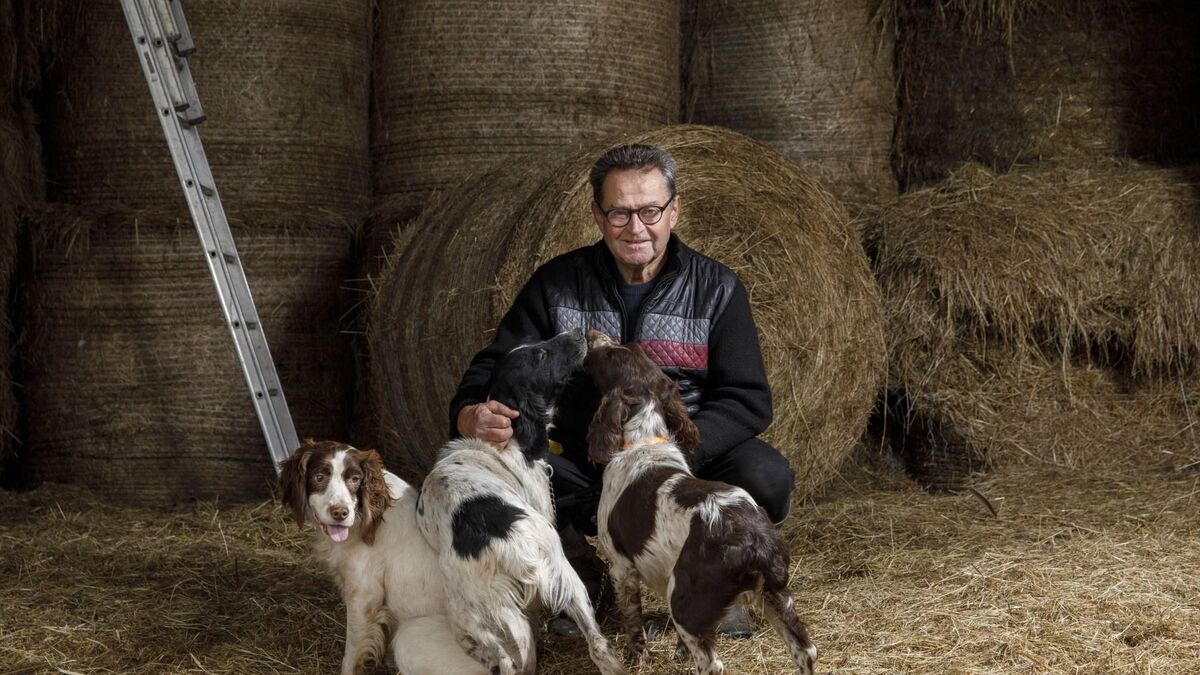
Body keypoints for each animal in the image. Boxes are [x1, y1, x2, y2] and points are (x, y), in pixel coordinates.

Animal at [417, 331, 628, 672]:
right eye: (540, 355)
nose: (578, 333)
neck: (510, 438)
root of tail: (505, 544)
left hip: (474, 620)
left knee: (512, 659)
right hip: (563, 577)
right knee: (595, 639)